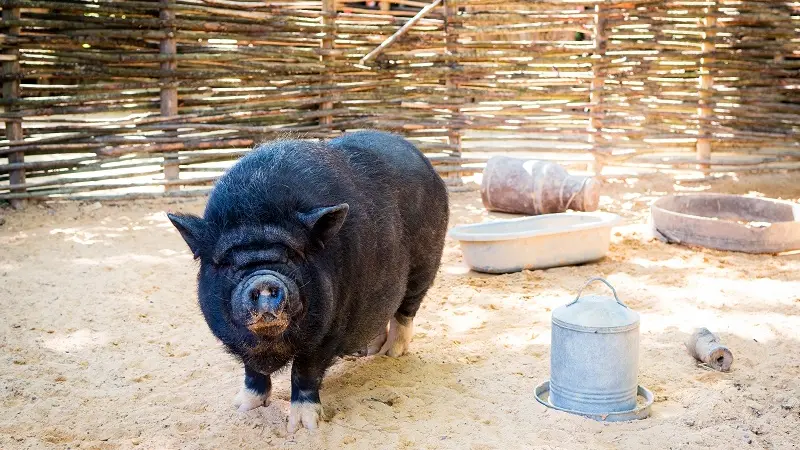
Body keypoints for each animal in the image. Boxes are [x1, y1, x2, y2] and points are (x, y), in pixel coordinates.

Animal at [167, 131, 450, 432]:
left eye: (293, 255)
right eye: (228, 263)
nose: (263, 281)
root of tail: (422, 158)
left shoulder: (332, 326)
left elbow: (305, 371)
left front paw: (304, 426)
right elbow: (252, 370)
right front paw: (242, 408)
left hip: (425, 265)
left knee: (406, 311)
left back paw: (392, 355)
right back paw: (370, 352)